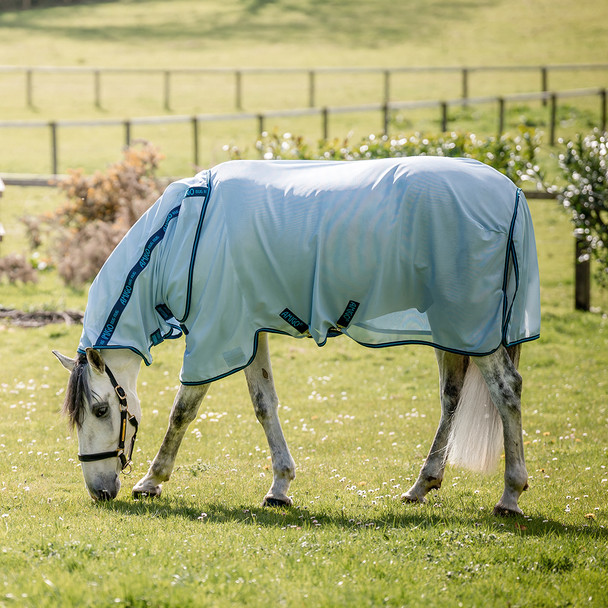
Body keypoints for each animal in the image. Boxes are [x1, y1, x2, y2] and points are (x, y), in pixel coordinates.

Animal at [52, 156, 540, 512]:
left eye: (100, 410)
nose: (99, 491)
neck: (185, 230)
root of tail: (510, 191)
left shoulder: (216, 336)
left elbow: (182, 411)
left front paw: (152, 481)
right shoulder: (247, 332)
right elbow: (264, 405)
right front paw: (280, 487)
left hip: (471, 325)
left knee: (506, 390)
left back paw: (510, 496)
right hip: (453, 329)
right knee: (451, 397)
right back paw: (422, 485)